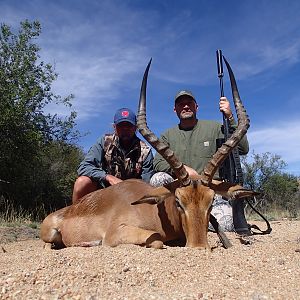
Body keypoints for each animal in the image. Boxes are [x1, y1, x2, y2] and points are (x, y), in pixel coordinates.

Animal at [39, 57, 255, 250]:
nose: (199, 247)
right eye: (179, 202)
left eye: (210, 202)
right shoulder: (114, 234)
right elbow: (157, 240)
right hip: (50, 235)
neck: (151, 210)